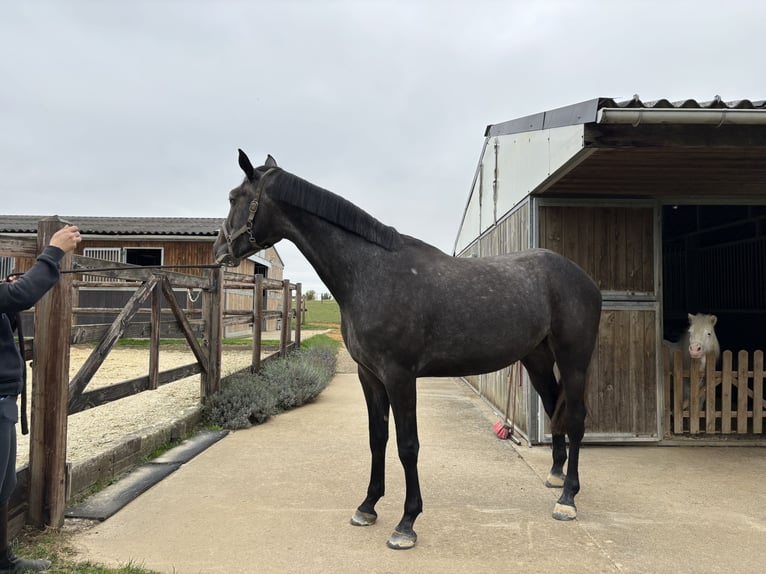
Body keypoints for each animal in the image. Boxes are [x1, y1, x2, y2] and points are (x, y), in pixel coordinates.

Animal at [213, 150, 603, 549]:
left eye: (233, 197)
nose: (220, 250)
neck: (370, 273)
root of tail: (582, 278)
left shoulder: (399, 376)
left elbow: (407, 445)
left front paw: (406, 523)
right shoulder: (369, 376)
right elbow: (378, 438)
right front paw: (367, 506)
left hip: (574, 360)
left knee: (575, 418)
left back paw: (567, 499)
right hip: (537, 358)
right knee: (553, 407)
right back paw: (555, 475)